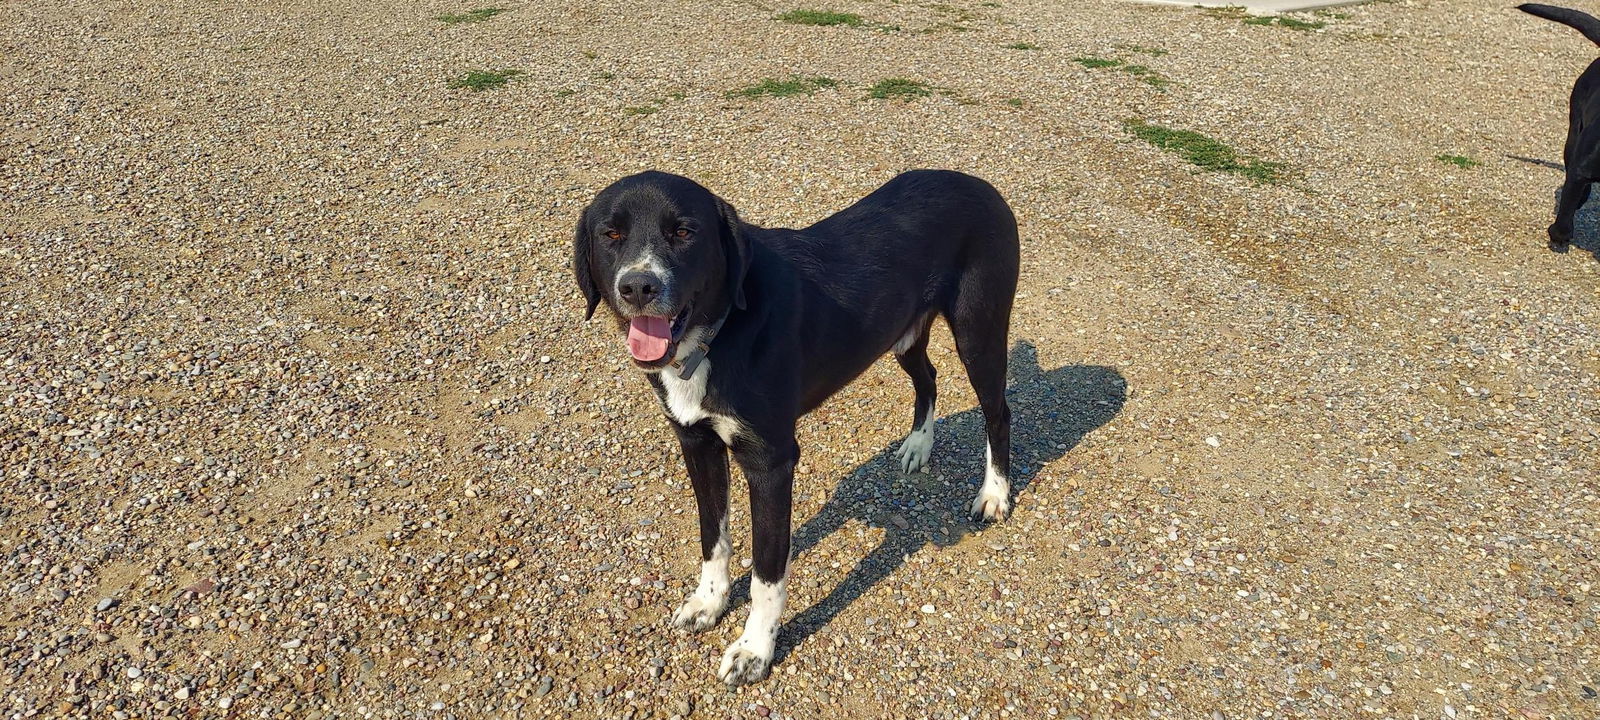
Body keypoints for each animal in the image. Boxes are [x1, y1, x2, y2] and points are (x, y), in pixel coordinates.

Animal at [576, 170, 1017, 684]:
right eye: (611, 235)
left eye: (684, 231)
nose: (638, 286)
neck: (719, 332)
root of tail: (979, 183)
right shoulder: (697, 444)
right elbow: (713, 537)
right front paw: (709, 603)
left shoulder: (770, 462)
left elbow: (767, 572)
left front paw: (754, 649)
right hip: (902, 334)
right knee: (929, 376)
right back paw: (918, 445)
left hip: (978, 331)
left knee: (998, 413)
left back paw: (994, 494)